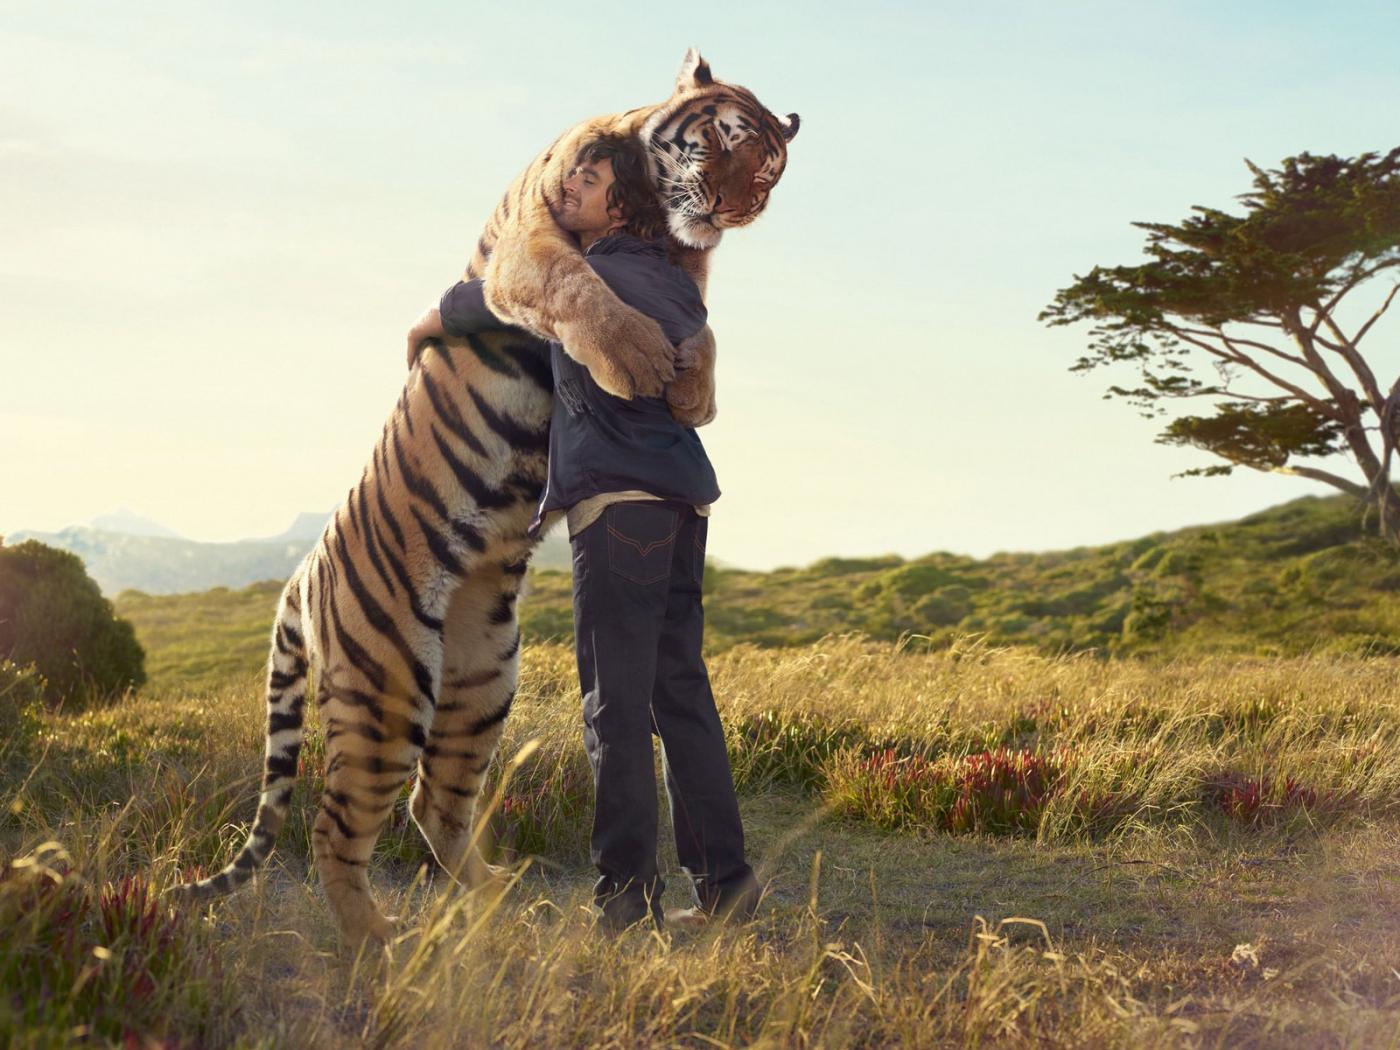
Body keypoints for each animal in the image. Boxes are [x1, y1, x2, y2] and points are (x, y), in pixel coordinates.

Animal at [172, 48, 799, 949]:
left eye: (771, 171)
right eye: (723, 138)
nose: (735, 207)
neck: (653, 218)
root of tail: (301, 573)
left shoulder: (690, 274)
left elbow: (703, 325)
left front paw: (692, 390)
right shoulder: (531, 245)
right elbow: (578, 285)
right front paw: (640, 360)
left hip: (481, 682)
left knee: (433, 804)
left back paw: (500, 902)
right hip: (389, 691)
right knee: (336, 825)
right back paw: (379, 941)